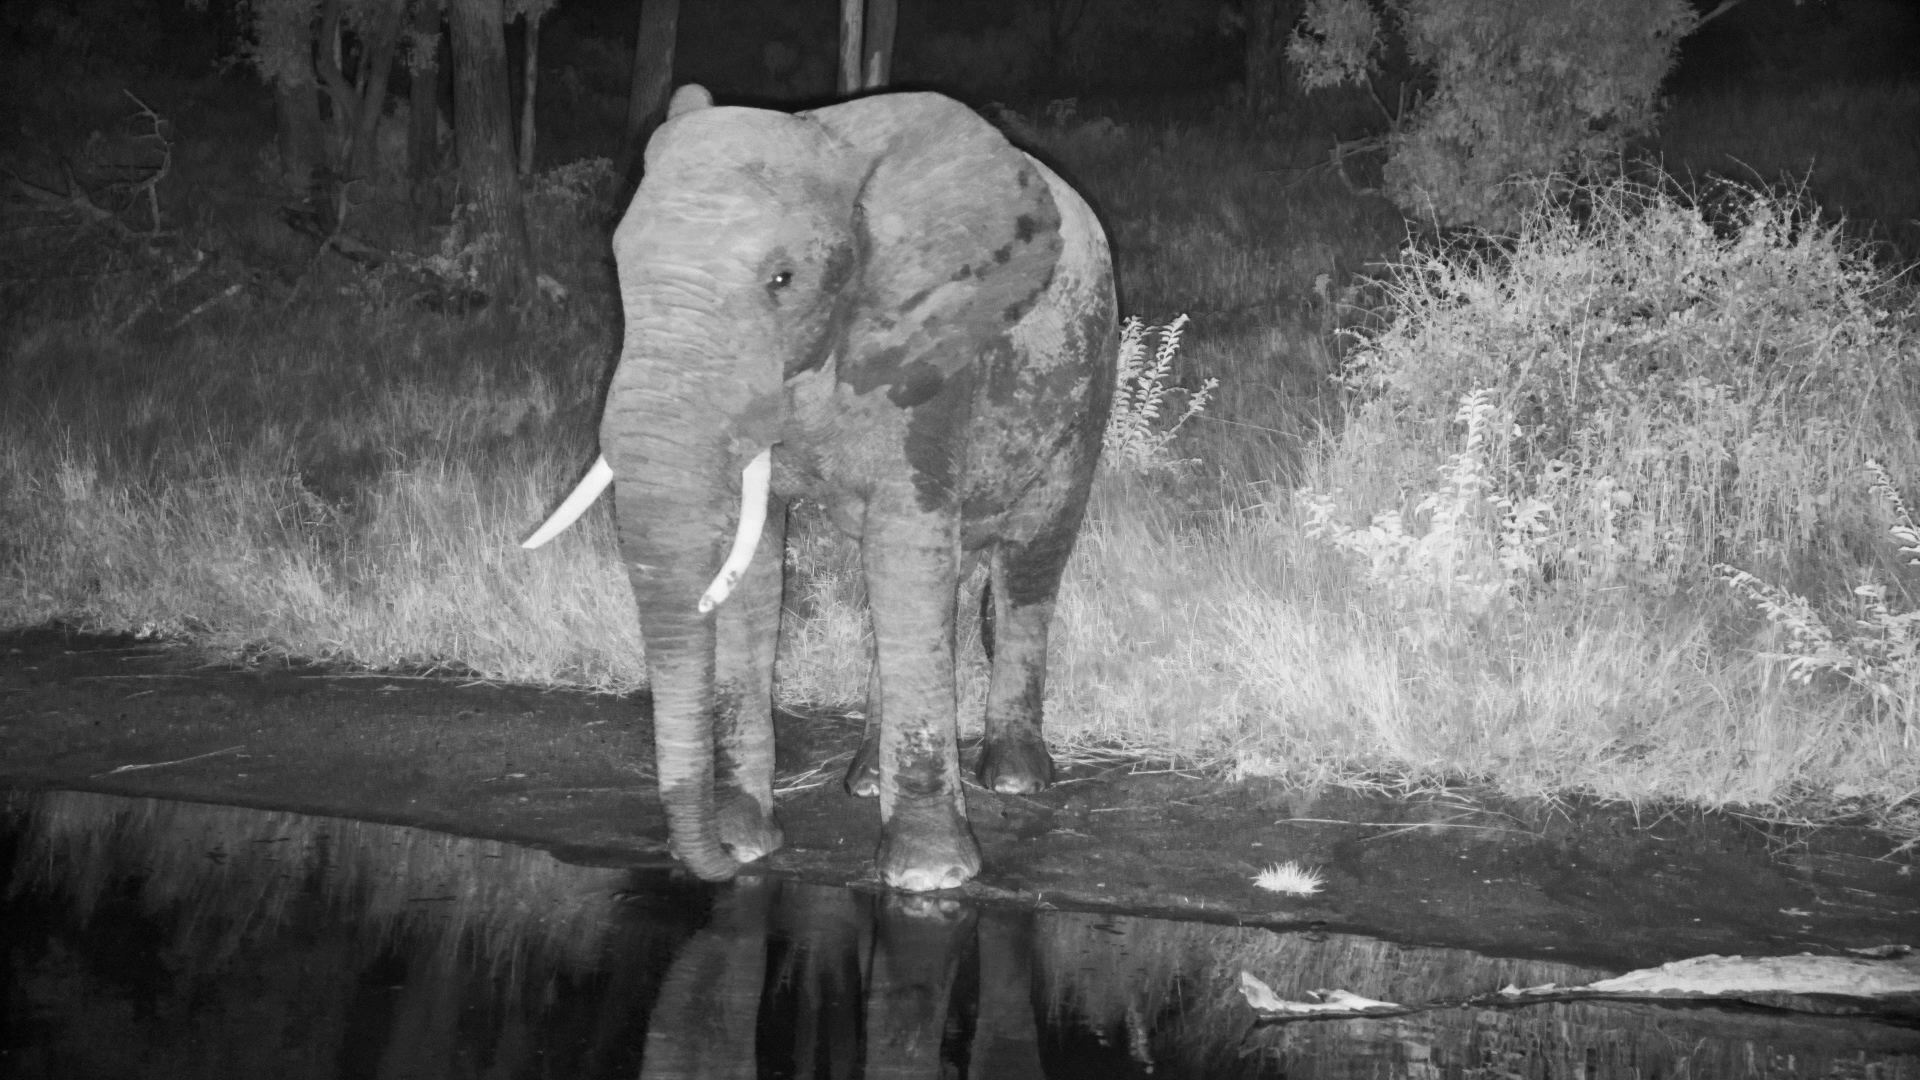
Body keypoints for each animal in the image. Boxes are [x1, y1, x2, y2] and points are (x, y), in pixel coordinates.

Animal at [524, 83, 1116, 892]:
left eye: (783, 280)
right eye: (619, 266)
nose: (709, 870)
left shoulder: (932, 354)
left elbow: (907, 552)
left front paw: (929, 876)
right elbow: (756, 565)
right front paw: (746, 842)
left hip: (1088, 376)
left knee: (1028, 560)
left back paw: (1016, 778)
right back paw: (865, 780)